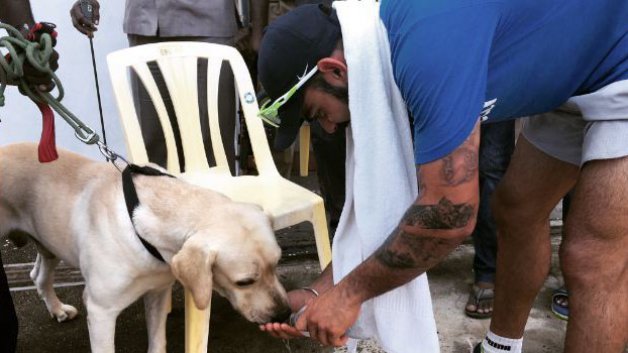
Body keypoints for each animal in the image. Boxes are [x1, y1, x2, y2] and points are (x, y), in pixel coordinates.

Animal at [0, 143, 290, 352]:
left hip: (48, 242)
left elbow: (158, 341)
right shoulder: (101, 311)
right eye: (244, 282)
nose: (285, 313)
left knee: (38, 276)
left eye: (276, 265)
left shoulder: (158, 293)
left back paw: (57, 309)